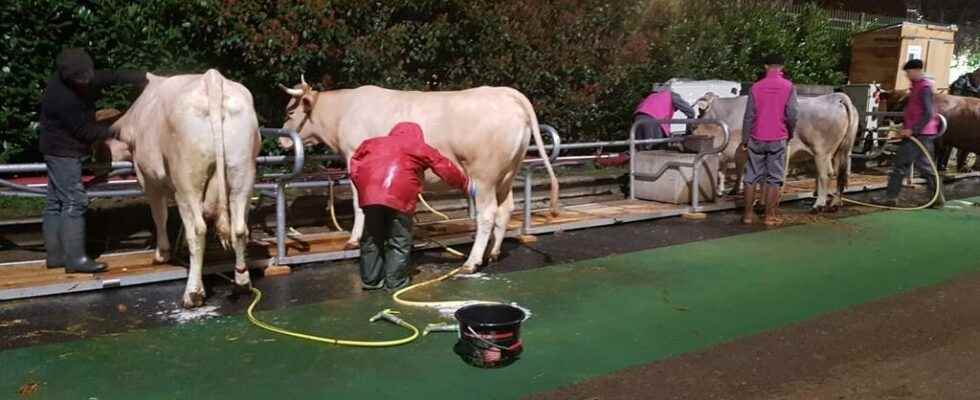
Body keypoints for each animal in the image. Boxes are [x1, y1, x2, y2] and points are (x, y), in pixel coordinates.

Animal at [110, 70, 260, 308]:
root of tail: (212, 78)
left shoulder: (149, 180)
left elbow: (159, 215)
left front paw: (162, 253)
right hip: (242, 171)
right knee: (239, 228)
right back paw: (242, 283)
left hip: (186, 181)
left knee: (197, 231)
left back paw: (193, 293)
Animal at [282, 78, 560, 272]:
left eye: (289, 112)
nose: (282, 140)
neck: (343, 111)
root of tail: (506, 93)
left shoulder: (355, 158)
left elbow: (358, 203)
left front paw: (354, 239)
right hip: (506, 174)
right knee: (506, 209)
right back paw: (492, 253)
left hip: (484, 176)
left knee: (488, 214)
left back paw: (471, 262)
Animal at [688, 92, 856, 211]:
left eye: (700, 111)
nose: (692, 126)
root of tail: (835, 98)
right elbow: (726, 170)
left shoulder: (739, 150)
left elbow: (739, 170)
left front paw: (737, 190)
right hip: (840, 151)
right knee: (840, 173)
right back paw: (835, 203)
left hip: (821, 152)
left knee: (825, 175)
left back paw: (818, 205)